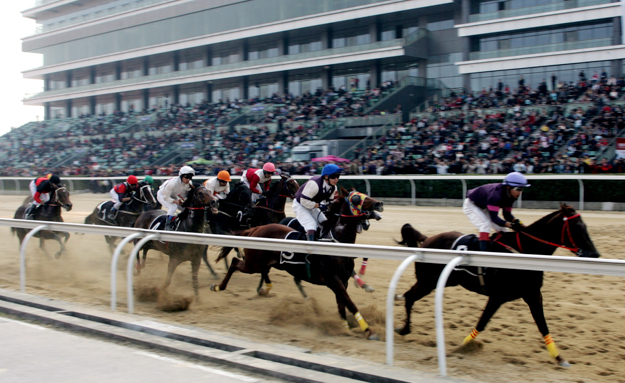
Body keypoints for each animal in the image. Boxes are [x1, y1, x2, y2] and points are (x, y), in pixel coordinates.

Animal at [212, 188, 382, 340]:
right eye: (356, 198)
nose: (379, 204)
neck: (335, 243)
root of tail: (256, 229)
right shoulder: (333, 279)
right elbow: (350, 304)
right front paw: (368, 330)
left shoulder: (343, 281)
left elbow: (342, 306)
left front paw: (346, 328)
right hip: (253, 263)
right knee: (235, 262)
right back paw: (218, 287)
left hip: (263, 262)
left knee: (262, 270)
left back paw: (265, 288)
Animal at [394, 206, 600, 368]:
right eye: (576, 227)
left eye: (585, 226)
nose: (595, 254)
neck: (524, 252)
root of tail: (428, 239)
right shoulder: (498, 296)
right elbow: (482, 322)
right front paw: (463, 346)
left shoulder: (532, 294)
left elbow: (543, 325)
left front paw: (559, 357)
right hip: (427, 282)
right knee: (409, 296)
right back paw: (404, 329)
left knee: (409, 296)